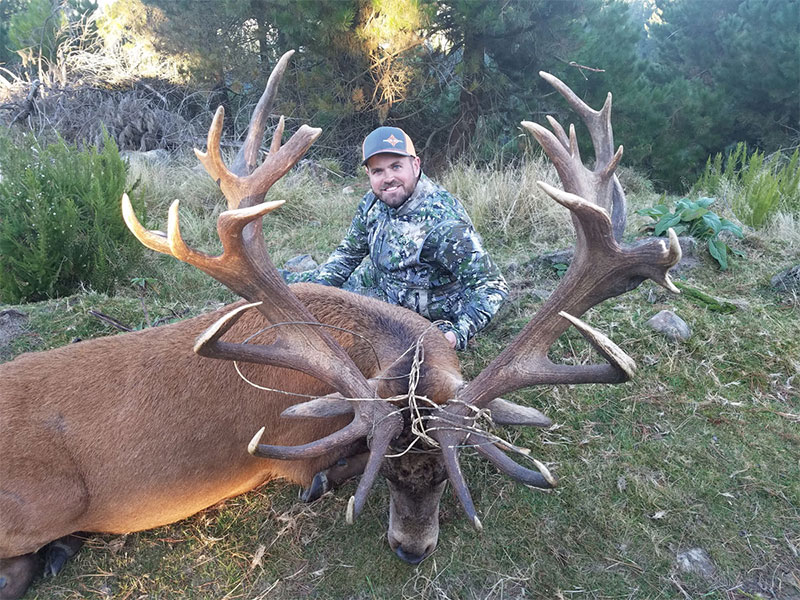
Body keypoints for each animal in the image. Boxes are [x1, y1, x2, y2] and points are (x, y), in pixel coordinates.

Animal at [0, 50, 681, 600]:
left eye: (445, 475)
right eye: (390, 475)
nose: (411, 550)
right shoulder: (293, 449)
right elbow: (323, 470)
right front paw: (328, 481)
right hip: (42, 500)